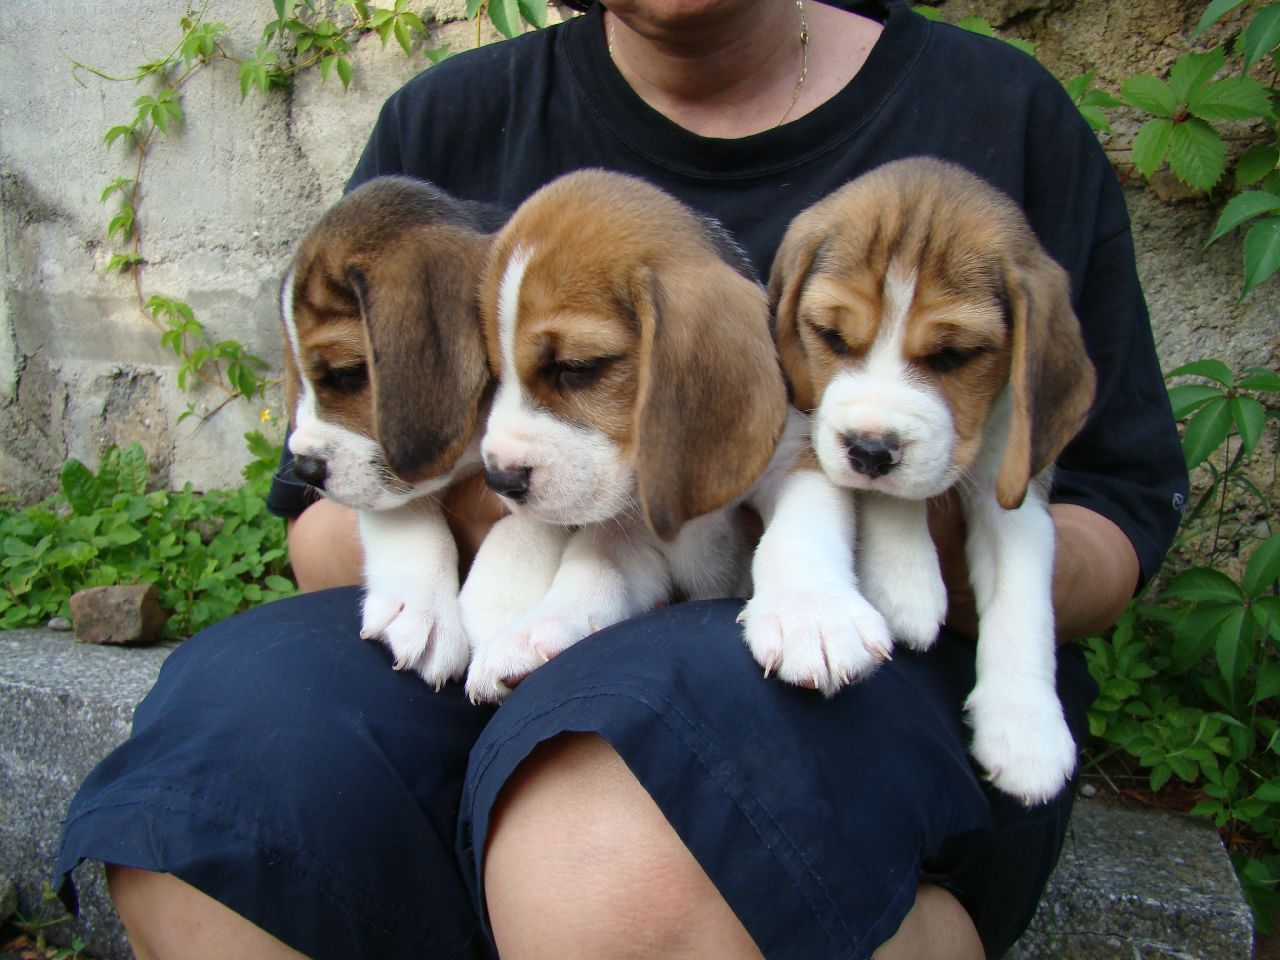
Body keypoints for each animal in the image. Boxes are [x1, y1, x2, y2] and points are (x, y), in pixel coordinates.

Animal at [458, 169, 791, 704]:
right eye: (495, 374)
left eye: (577, 367)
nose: (500, 480)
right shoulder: (626, 540)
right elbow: (591, 573)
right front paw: (532, 633)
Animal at [740, 157, 1097, 804]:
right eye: (831, 337)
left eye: (954, 356)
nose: (870, 450)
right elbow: (891, 499)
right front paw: (907, 584)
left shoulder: (1016, 493)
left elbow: (1024, 601)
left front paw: (1026, 731)